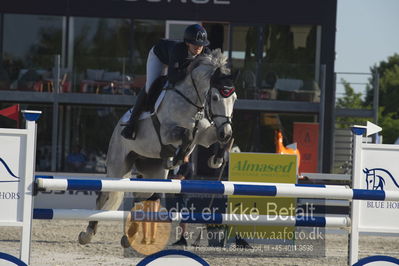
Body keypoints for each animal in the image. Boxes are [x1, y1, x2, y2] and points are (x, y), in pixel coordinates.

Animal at [78, 49, 238, 245]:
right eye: (215, 97)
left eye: (234, 98)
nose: (226, 132)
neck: (193, 102)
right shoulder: (167, 132)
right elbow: (186, 135)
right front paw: (179, 156)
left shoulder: (205, 136)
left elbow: (211, 138)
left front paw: (217, 158)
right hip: (117, 166)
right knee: (105, 195)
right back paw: (87, 234)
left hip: (154, 173)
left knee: (141, 197)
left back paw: (128, 236)